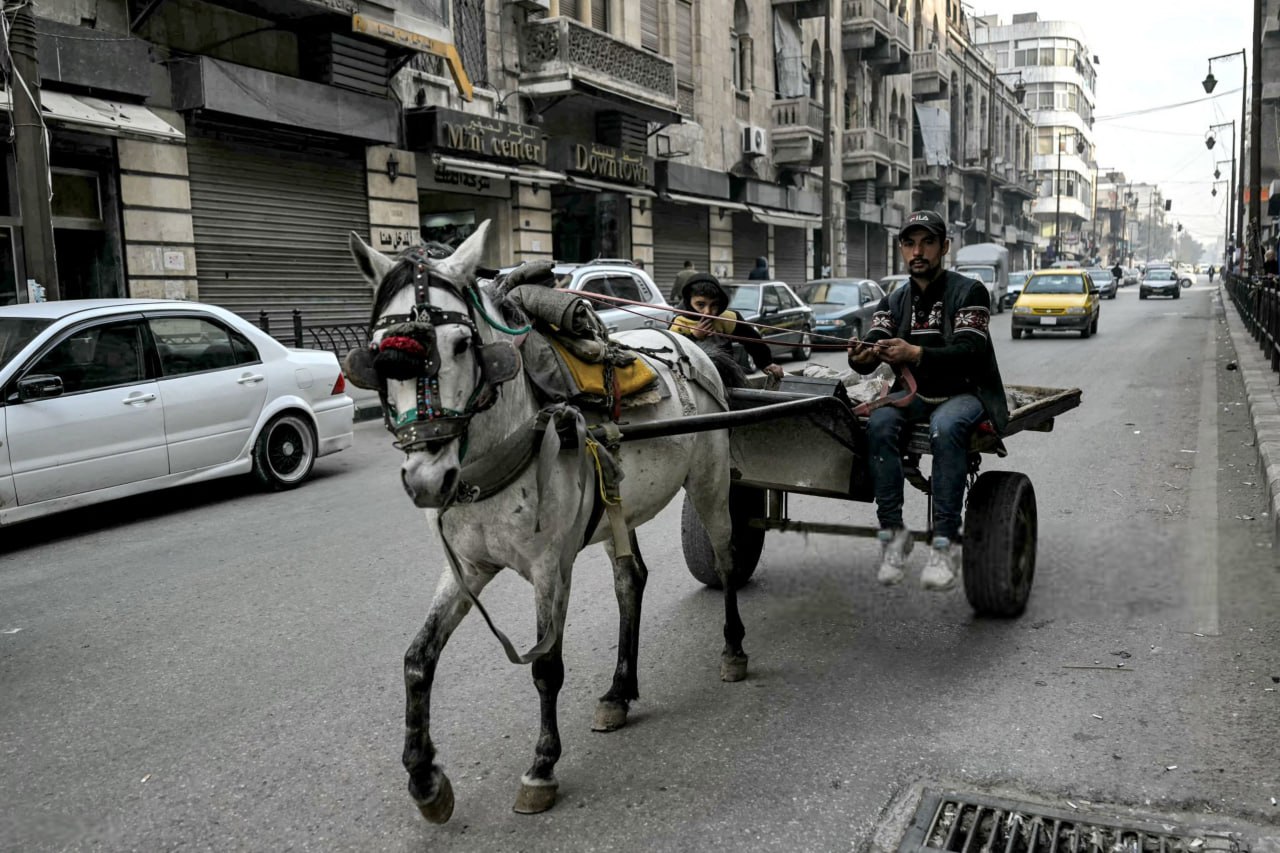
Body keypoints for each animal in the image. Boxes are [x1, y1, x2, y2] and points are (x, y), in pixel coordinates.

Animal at [350, 222, 747, 819]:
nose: (425, 479)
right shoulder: (467, 566)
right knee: (630, 582)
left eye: (462, 344)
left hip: (710, 485)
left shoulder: (549, 566)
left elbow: (545, 666)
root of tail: (689, 344)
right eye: (378, 354)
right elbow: (418, 658)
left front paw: (541, 766)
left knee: (724, 561)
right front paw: (424, 778)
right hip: (619, 508)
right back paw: (619, 692)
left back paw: (733, 649)